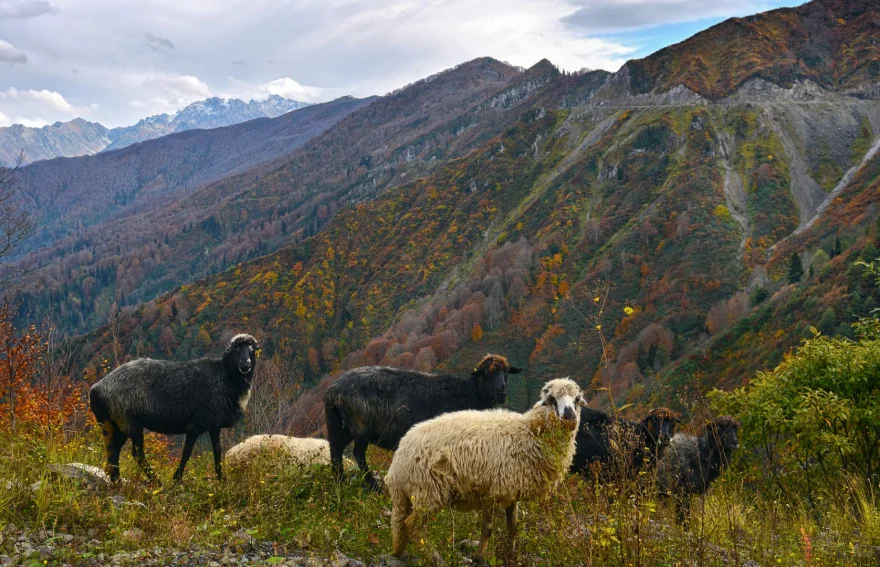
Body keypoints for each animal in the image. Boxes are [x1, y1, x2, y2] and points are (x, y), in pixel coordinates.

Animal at [90, 332, 260, 484]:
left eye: (252, 349)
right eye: (236, 349)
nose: (245, 364)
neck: (224, 376)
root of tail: (97, 388)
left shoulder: (214, 425)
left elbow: (217, 451)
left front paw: (221, 479)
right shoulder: (196, 425)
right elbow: (187, 452)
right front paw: (176, 479)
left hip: (113, 423)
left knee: (113, 449)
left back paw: (116, 480)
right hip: (129, 421)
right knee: (136, 453)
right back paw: (155, 481)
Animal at [324, 352, 520, 490]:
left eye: (506, 372)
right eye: (486, 372)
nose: (501, 391)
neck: (470, 393)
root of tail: (333, 391)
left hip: (338, 425)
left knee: (335, 450)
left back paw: (340, 482)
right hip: (360, 426)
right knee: (357, 453)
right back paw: (374, 488)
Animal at [384, 374, 584, 564]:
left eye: (576, 399)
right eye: (551, 399)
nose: (569, 416)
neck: (530, 431)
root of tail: (397, 463)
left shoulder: (511, 491)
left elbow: (513, 526)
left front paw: (512, 555)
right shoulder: (494, 492)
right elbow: (488, 528)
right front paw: (479, 557)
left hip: (410, 496)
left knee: (400, 525)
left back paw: (399, 552)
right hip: (429, 490)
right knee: (412, 526)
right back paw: (437, 559)